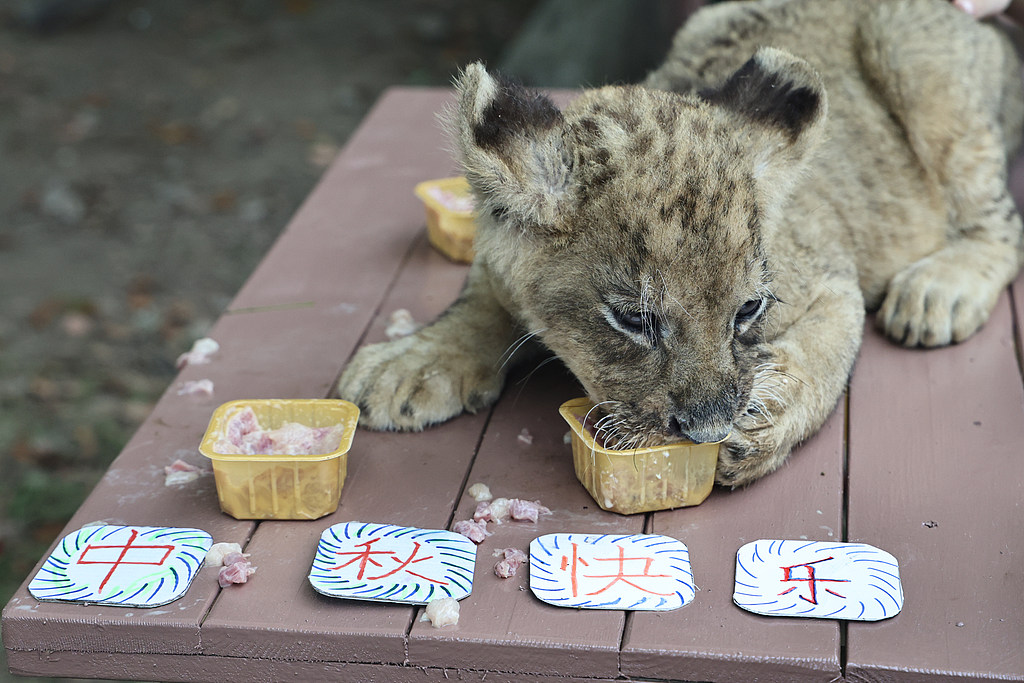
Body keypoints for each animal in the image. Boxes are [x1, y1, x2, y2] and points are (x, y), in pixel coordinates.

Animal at [338, 0, 1024, 487]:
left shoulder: (833, 276)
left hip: (915, 58)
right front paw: (409, 362)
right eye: (633, 320)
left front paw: (763, 422)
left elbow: (824, 356)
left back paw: (939, 292)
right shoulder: (499, 257)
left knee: (1002, 226)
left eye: (748, 310)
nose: (708, 429)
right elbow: (479, 301)